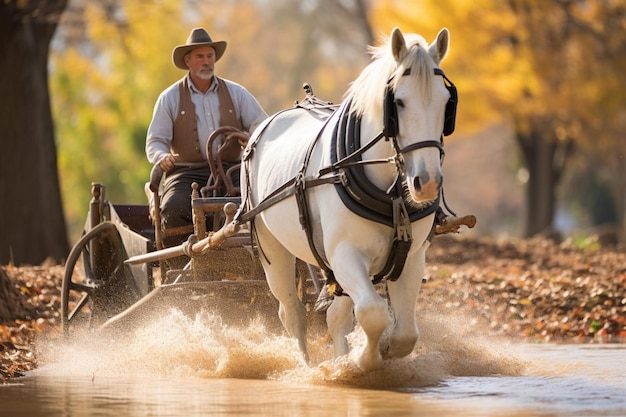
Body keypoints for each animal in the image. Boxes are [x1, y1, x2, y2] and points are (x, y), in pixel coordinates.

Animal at [239, 27, 454, 368]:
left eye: (447, 103)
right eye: (399, 102)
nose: (428, 183)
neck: (391, 195)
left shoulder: (412, 257)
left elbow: (405, 332)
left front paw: (383, 351)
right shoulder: (345, 254)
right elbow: (373, 312)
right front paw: (363, 360)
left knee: (336, 315)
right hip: (271, 247)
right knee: (292, 313)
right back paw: (307, 364)